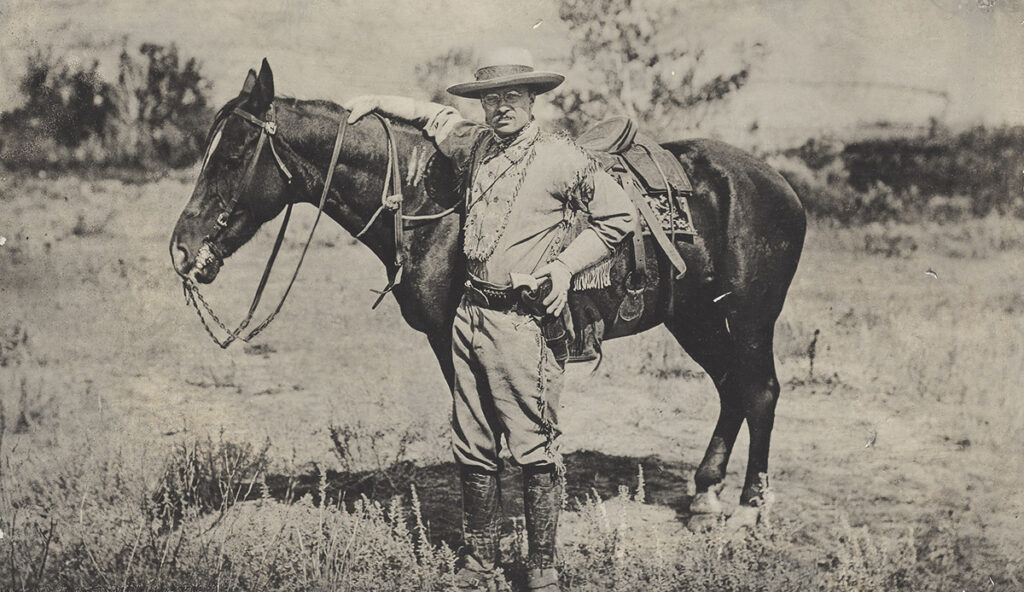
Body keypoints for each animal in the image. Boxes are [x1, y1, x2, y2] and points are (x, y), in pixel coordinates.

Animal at [169, 60, 806, 524]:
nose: (181, 248)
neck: (426, 202)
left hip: (752, 317)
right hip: (696, 318)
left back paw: (750, 507)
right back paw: (704, 497)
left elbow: (498, 435)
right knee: (730, 388)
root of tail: (778, 183)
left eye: (232, 155)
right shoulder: (450, 341)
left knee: (761, 392)